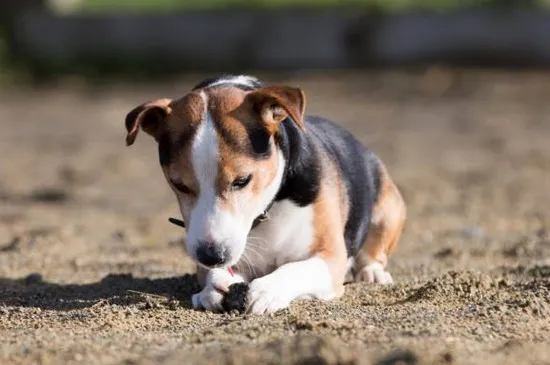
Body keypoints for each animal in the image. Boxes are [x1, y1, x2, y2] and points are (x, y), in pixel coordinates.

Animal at [126, 74, 410, 312]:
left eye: (242, 180)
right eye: (180, 185)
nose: (211, 255)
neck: (269, 208)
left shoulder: (329, 257)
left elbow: (294, 268)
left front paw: (267, 289)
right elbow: (215, 276)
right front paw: (213, 286)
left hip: (388, 209)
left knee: (374, 251)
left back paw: (372, 272)